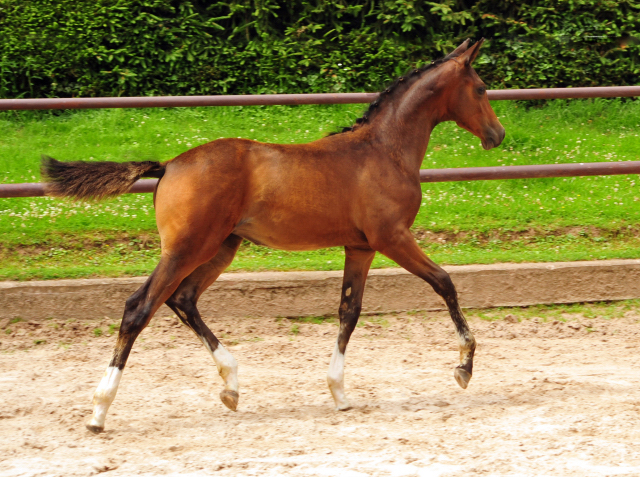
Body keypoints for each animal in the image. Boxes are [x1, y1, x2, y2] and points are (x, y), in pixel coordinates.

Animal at [43, 38, 504, 432]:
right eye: (481, 89)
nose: (497, 135)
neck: (384, 151)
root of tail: (170, 164)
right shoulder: (392, 238)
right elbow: (444, 282)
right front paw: (464, 367)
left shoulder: (360, 247)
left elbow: (349, 312)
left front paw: (339, 393)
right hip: (188, 248)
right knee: (139, 307)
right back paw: (99, 411)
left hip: (220, 248)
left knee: (182, 299)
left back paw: (230, 386)